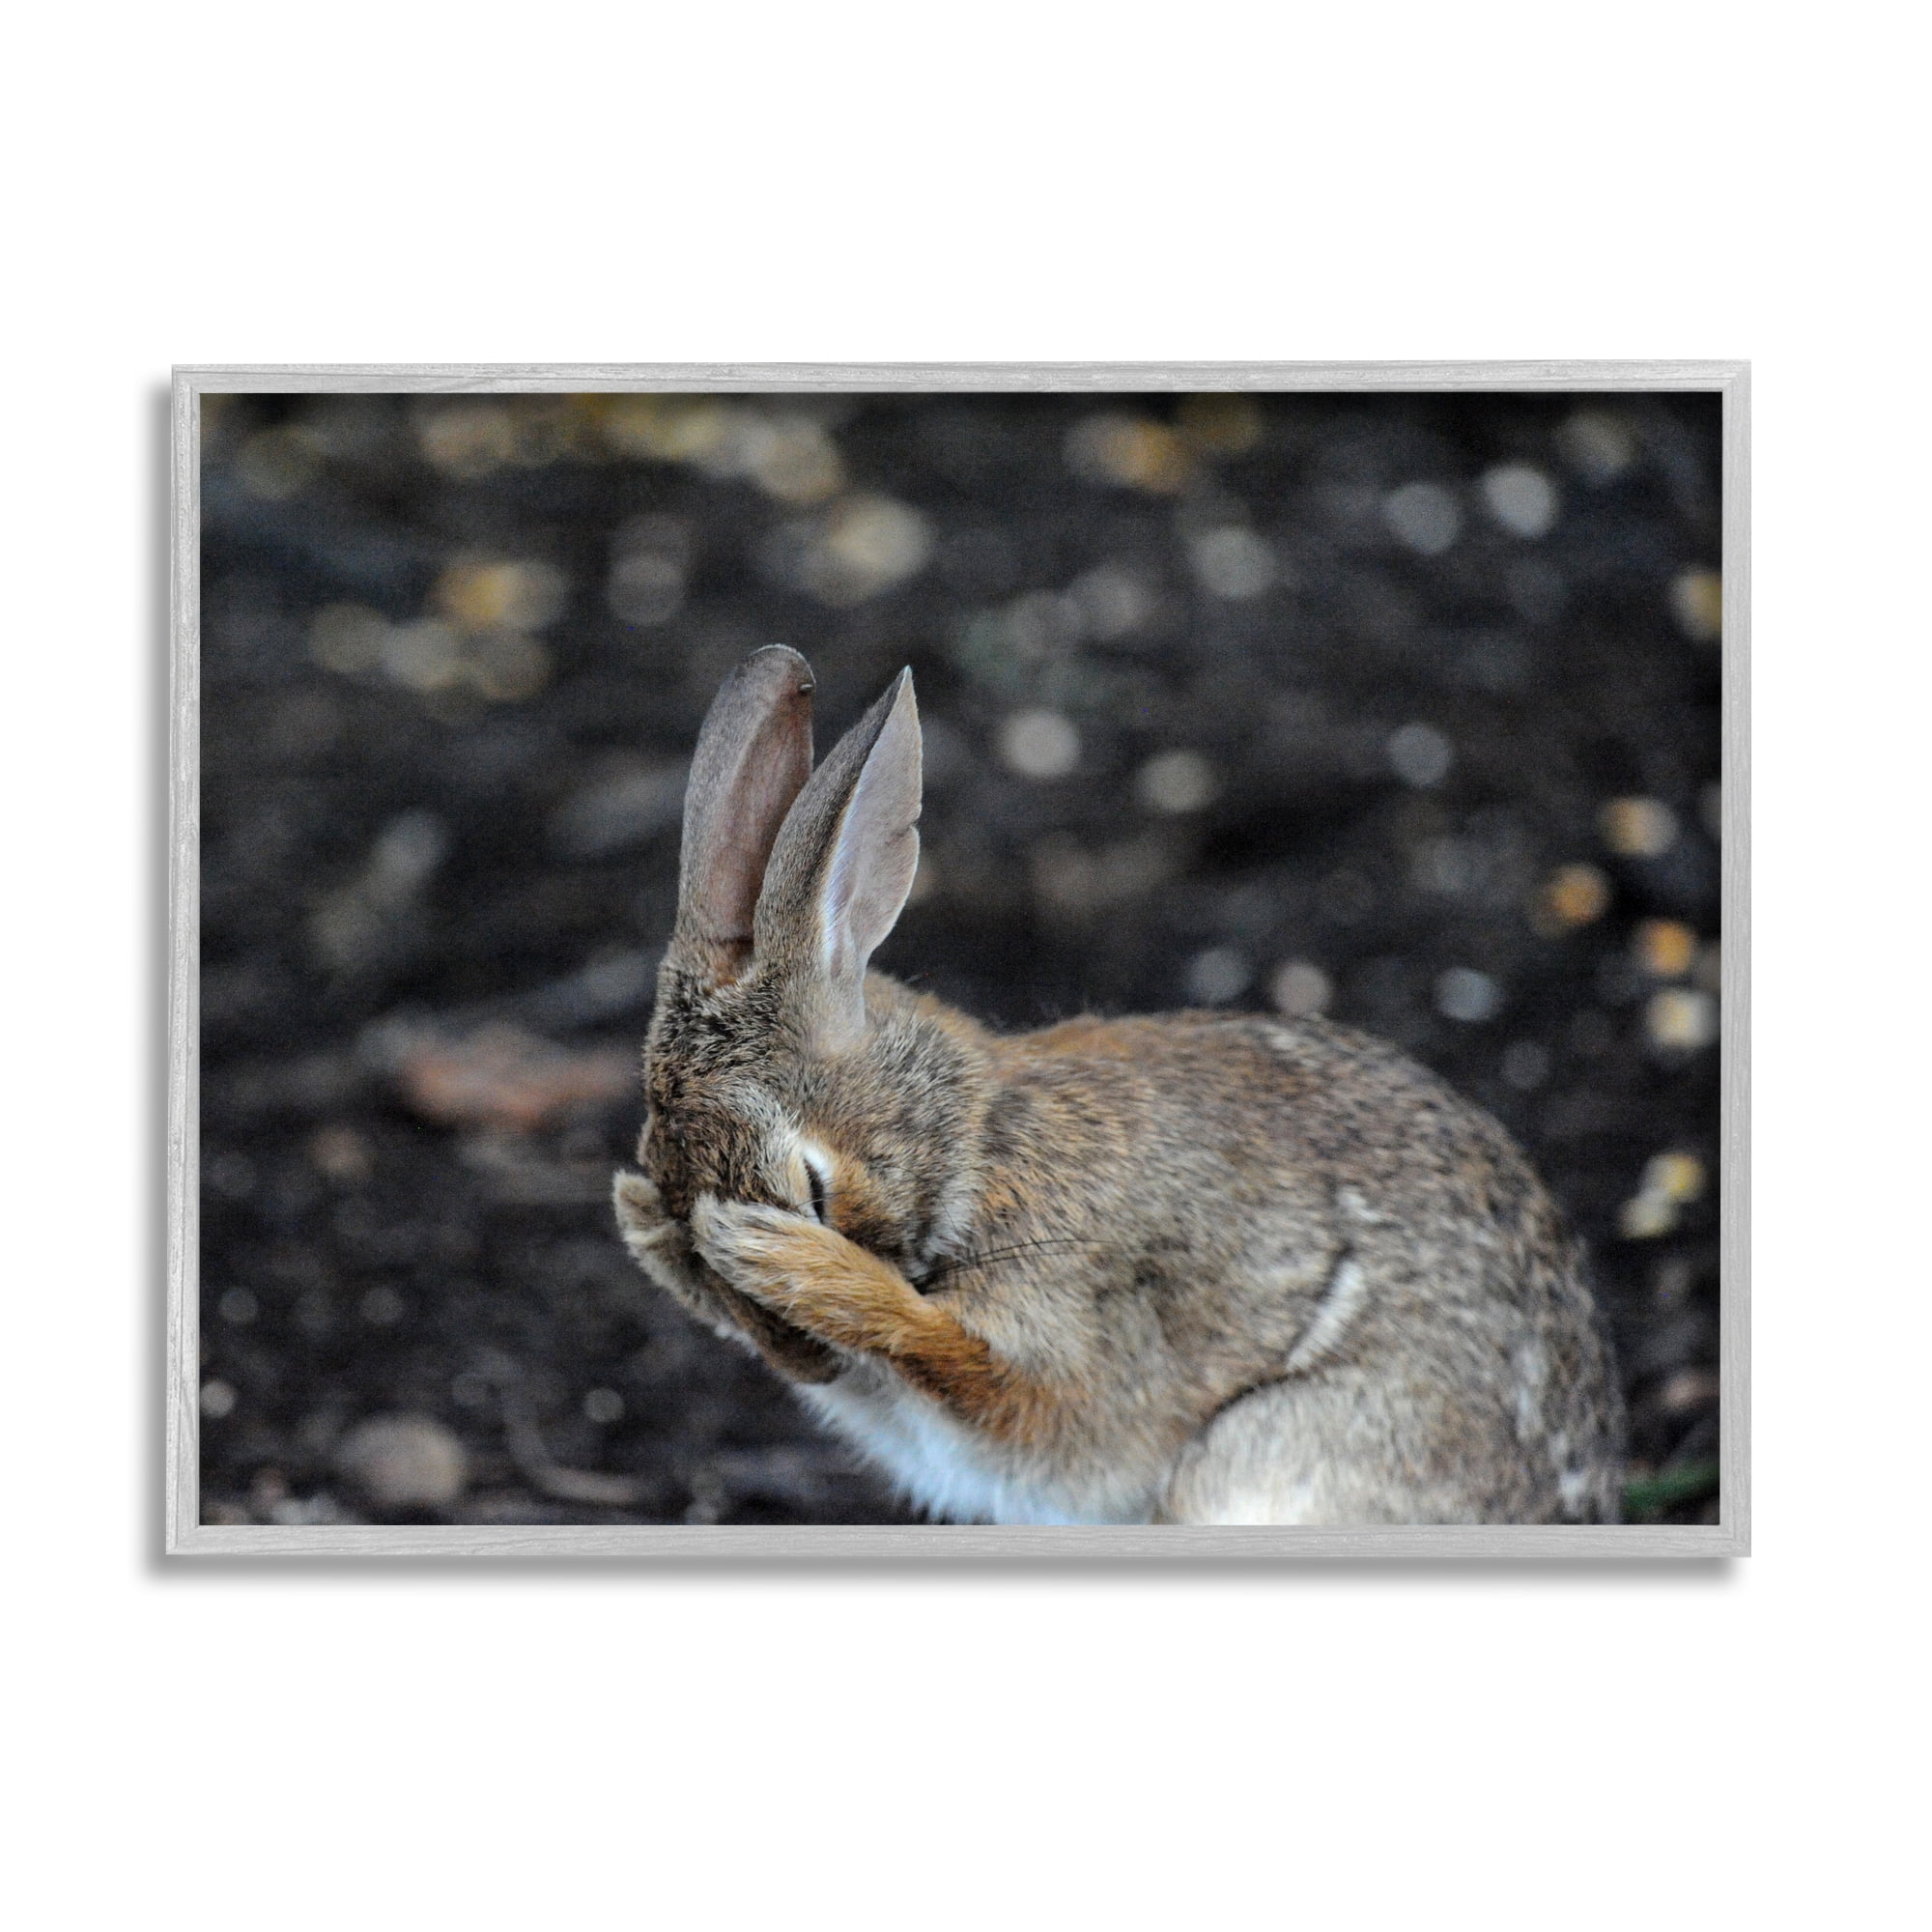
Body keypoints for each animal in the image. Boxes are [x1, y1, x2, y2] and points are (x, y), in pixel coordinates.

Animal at [614, 644, 1626, 1525]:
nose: (807, 1365)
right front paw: (644, 1225)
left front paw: (788, 1261)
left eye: (811, 1186)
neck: (975, 1144)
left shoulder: (1077, 1333)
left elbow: (978, 1368)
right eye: (677, 1218)